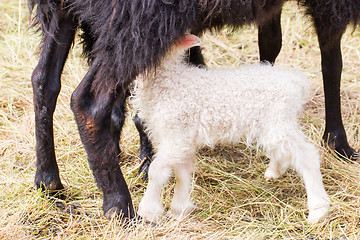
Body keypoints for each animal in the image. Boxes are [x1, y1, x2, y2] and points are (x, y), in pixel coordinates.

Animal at [132, 34, 330, 224]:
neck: (169, 80)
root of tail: (296, 81)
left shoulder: (176, 135)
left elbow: (156, 171)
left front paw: (148, 211)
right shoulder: (182, 137)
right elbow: (182, 172)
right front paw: (180, 209)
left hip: (277, 120)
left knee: (307, 156)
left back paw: (318, 210)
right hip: (277, 122)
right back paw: (274, 171)